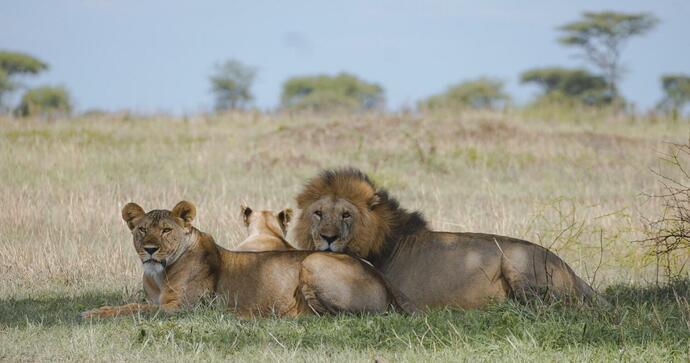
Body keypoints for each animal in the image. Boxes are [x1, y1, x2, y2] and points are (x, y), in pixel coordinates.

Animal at [80, 200, 414, 320]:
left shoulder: (183, 307)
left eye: (165, 231)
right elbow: (131, 304)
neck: (158, 274)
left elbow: (134, 309)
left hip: (313, 262)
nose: (149, 249)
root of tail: (389, 288)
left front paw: (93, 314)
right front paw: (98, 310)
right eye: (141, 230)